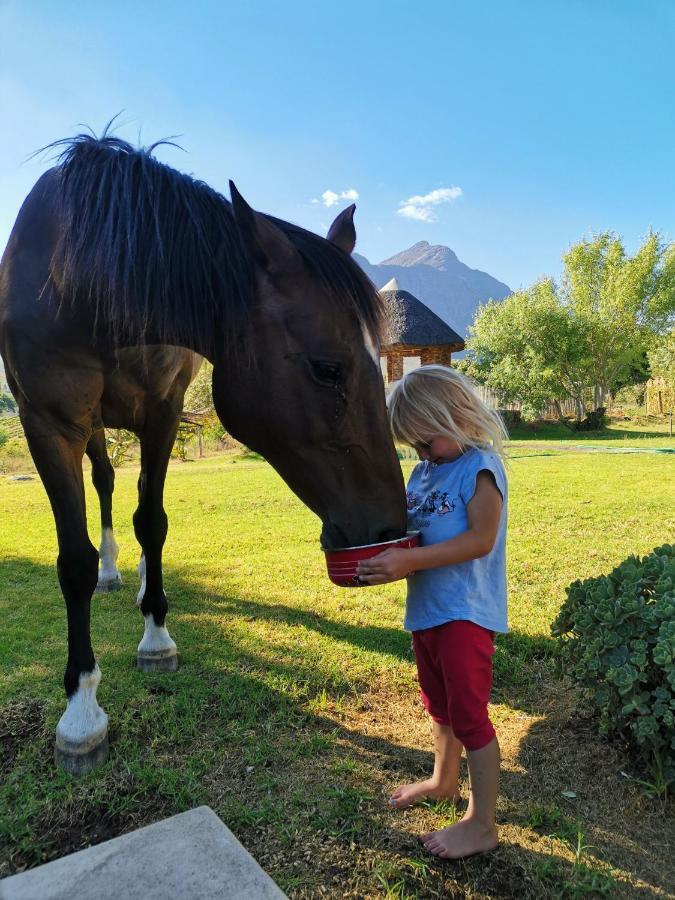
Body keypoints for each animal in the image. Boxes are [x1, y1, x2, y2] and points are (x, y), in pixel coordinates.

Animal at [0, 132, 406, 772]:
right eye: (328, 369)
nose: (392, 528)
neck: (84, 275)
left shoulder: (162, 413)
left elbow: (153, 521)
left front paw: (156, 636)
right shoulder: (48, 421)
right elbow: (74, 560)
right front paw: (81, 712)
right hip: (91, 429)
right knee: (107, 482)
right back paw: (115, 572)